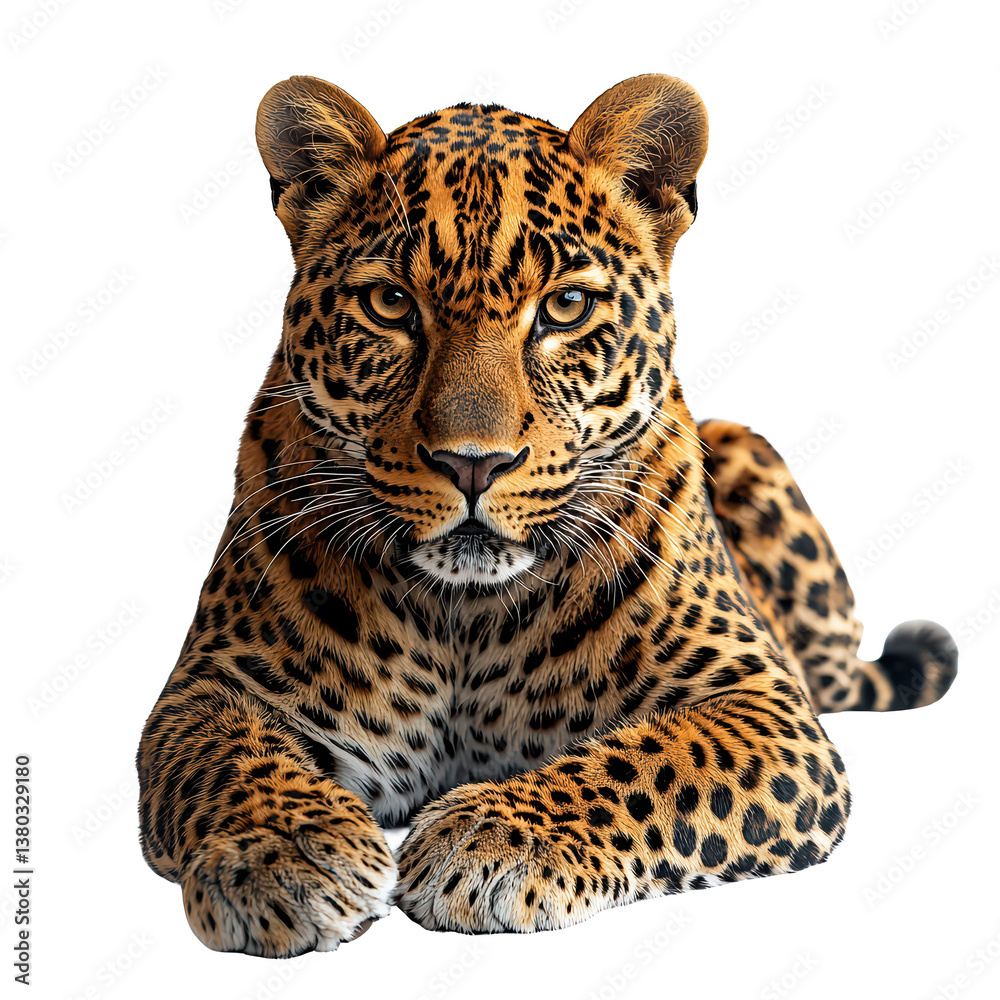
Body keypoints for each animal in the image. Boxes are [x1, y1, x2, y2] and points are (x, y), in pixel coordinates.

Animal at [137, 73, 958, 957]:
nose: (473, 462)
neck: (463, 618)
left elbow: (650, 762)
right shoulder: (208, 687)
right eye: (390, 303)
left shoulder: (761, 702)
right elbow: (228, 757)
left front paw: (491, 838)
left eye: (564, 307)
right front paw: (284, 852)